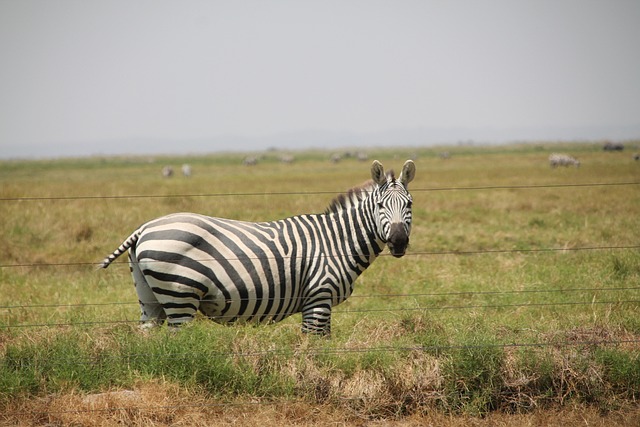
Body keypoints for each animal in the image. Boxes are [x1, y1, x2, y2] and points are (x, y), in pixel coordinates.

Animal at [101, 160, 416, 334]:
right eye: (380, 206)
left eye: (410, 204)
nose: (399, 241)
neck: (336, 242)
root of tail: (144, 228)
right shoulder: (318, 299)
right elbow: (314, 349)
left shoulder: (320, 303)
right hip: (180, 294)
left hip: (150, 297)